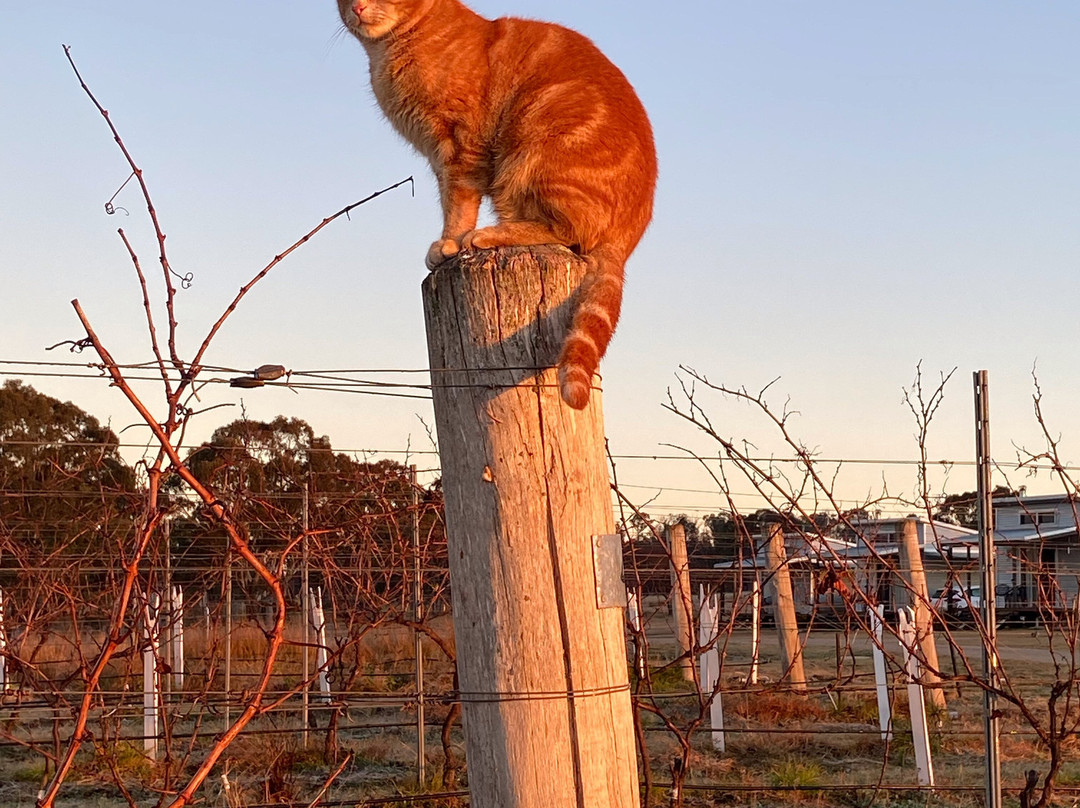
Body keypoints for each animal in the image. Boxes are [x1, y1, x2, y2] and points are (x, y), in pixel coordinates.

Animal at [339, 0, 656, 406]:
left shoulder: (461, 148)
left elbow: (459, 205)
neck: (390, 52)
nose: (358, 7)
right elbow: (449, 200)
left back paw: (489, 234)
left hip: (533, 145)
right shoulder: (440, 159)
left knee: (563, 232)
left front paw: (450, 242)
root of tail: (627, 239)